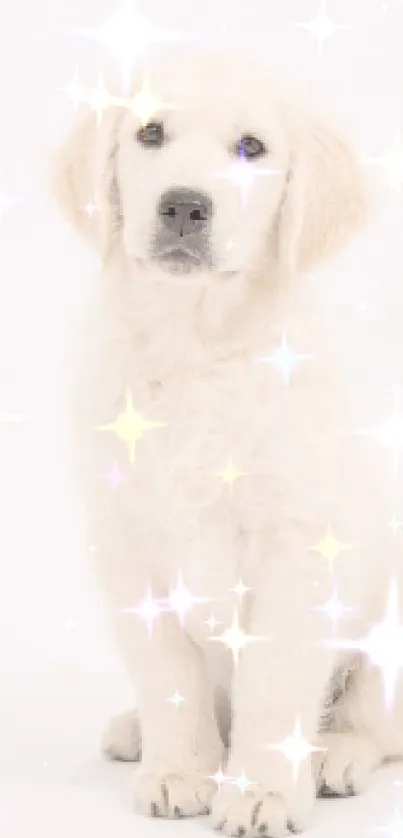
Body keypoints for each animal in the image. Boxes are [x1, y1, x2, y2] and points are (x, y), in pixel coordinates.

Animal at [52, 47, 400, 838]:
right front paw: (180, 768)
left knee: (376, 718)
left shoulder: (295, 546)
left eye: (251, 148)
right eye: (149, 134)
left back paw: (332, 757)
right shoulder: (125, 541)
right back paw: (137, 732)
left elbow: (273, 685)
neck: (195, 347)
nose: (184, 205)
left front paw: (262, 790)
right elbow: (167, 673)